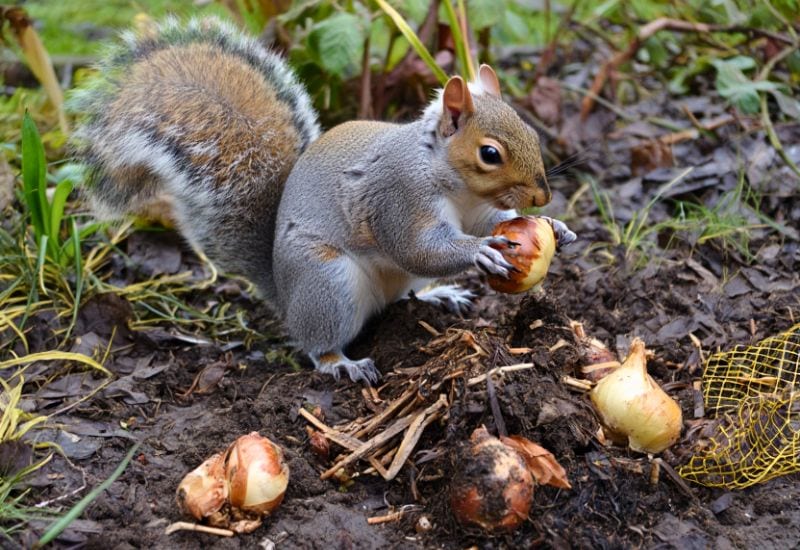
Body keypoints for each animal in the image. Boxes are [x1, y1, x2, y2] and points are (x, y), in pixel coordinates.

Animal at [70, 17, 576, 384]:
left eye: (531, 131)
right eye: (490, 154)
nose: (543, 194)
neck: (454, 182)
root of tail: (283, 291)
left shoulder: (479, 210)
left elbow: (496, 219)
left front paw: (554, 227)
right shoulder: (397, 196)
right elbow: (419, 247)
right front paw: (481, 251)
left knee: (402, 297)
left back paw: (438, 295)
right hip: (327, 283)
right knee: (317, 344)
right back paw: (343, 363)